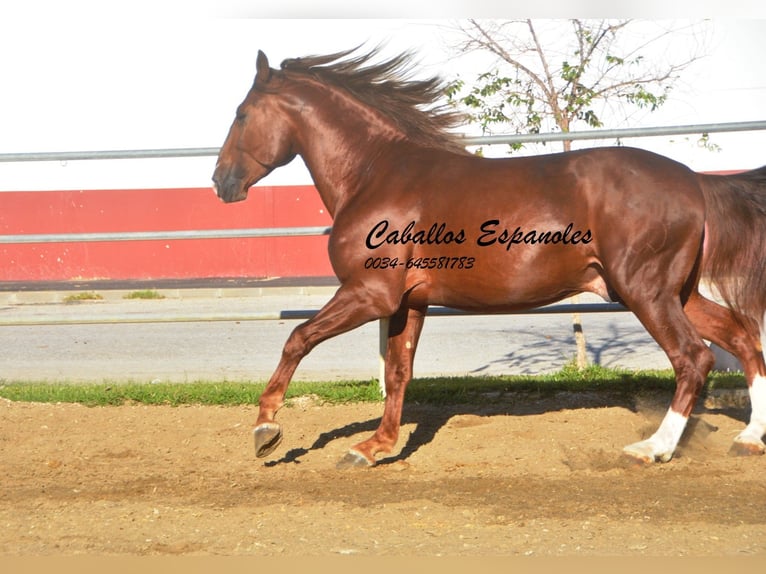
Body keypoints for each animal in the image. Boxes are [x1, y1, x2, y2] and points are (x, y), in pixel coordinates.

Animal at [212, 48, 766, 468]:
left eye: (241, 114)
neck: (376, 174)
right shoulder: (408, 302)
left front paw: (266, 430)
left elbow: (298, 338)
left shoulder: (369, 294)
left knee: (693, 358)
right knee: (741, 336)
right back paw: (748, 439)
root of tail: (695, 181)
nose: (221, 183)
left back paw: (652, 449)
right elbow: (397, 372)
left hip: (645, 291)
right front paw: (373, 448)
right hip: (674, 292)